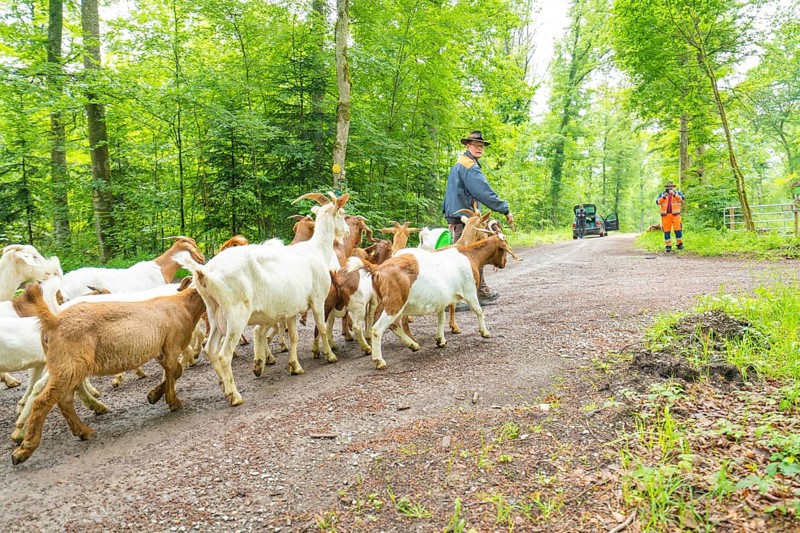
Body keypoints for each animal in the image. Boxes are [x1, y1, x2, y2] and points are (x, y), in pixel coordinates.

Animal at [10, 282, 207, 465]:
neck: (184, 306)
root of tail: (53, 321)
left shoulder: (162, 350)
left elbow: (176, 371)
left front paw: (153, 395)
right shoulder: (172, 345)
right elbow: (174, 372)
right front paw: (173, 402)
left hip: (67, 368)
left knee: (64, 400)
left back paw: (83, 431)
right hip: (69, 366)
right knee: (42, 402)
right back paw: (24, 450)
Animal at [178, 193, 351, 406]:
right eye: (342, 213)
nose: (347, 231)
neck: (317, 250)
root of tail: (204, 272)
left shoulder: (291, 309)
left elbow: (294, 337)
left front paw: (295, 366)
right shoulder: (317, 300)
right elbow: (322, 328)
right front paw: (330, 356)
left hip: (214, 312)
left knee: (210, 350)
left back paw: (224, 388)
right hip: (235, 315)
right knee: (224, 355)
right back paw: (235, 396)